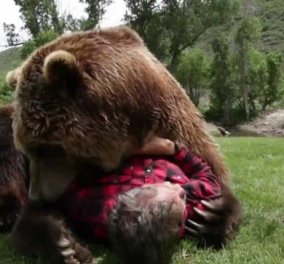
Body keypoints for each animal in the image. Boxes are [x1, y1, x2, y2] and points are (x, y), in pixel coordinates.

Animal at [7, 25, 242, 260]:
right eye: (27, 149)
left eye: (48, 148)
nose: (36, 195)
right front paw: (62, 243)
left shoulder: (180, 127)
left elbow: (212, 173)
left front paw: (211, 214)